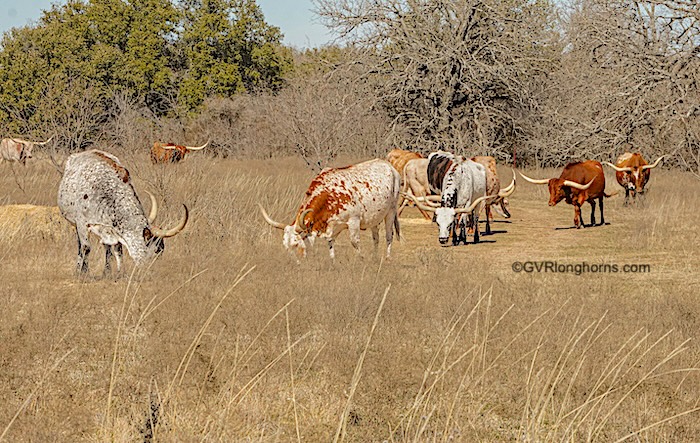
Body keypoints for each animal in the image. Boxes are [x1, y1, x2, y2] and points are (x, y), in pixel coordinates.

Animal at [58, 149, 189, 276]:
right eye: (156, 251)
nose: (153, 270)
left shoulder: (111, 230)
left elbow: (117, 250)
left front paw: (116, 272)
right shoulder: (82, 223)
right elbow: (86, 247)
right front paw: (83, 273)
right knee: (80, 246)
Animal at [258, 159, 402, 260]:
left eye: (296, 244)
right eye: (285, 246)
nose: (293, 262)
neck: (329, 193)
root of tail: (389, 166)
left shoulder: (354, 220)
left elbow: (354, 241)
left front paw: (360, 258)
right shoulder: (333, 224)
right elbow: (330, 242)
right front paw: (332, 260)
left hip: (391, 211)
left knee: (389, 236)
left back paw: (387, 257)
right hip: (374, 217)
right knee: (376, 237)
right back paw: (375, 257)